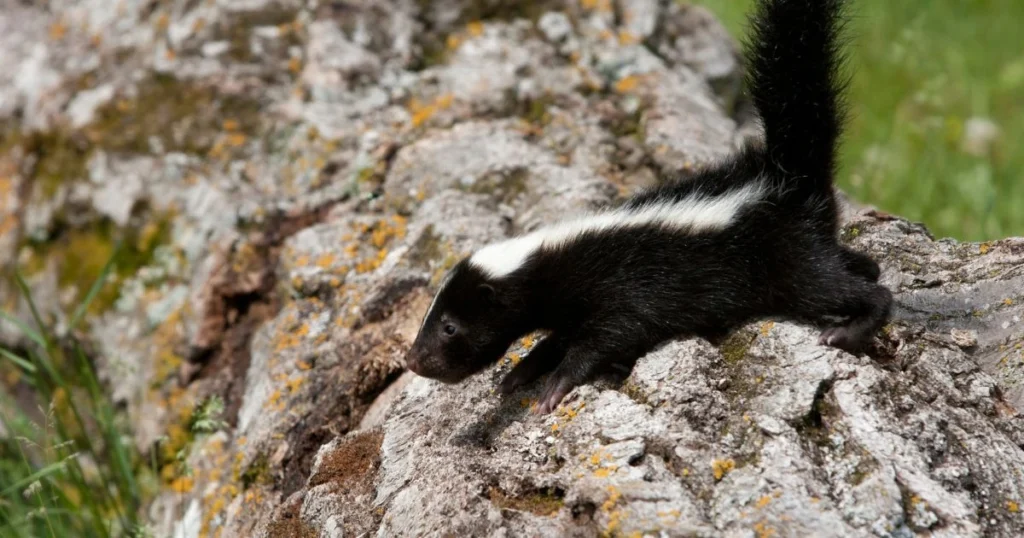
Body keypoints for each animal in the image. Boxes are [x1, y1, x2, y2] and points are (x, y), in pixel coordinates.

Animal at [403, 0, 892, 414]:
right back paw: (864, 267)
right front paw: (523, 371)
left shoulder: (626, 289)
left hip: (783, 256)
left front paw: (555, 386)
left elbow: (607, 337)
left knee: (837, 288)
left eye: (449, 327)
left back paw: (850, 328)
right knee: (855, 265)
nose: (413, 360)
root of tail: (784, 175)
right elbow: (558, 338)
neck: (553, 257)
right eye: (431, 319)